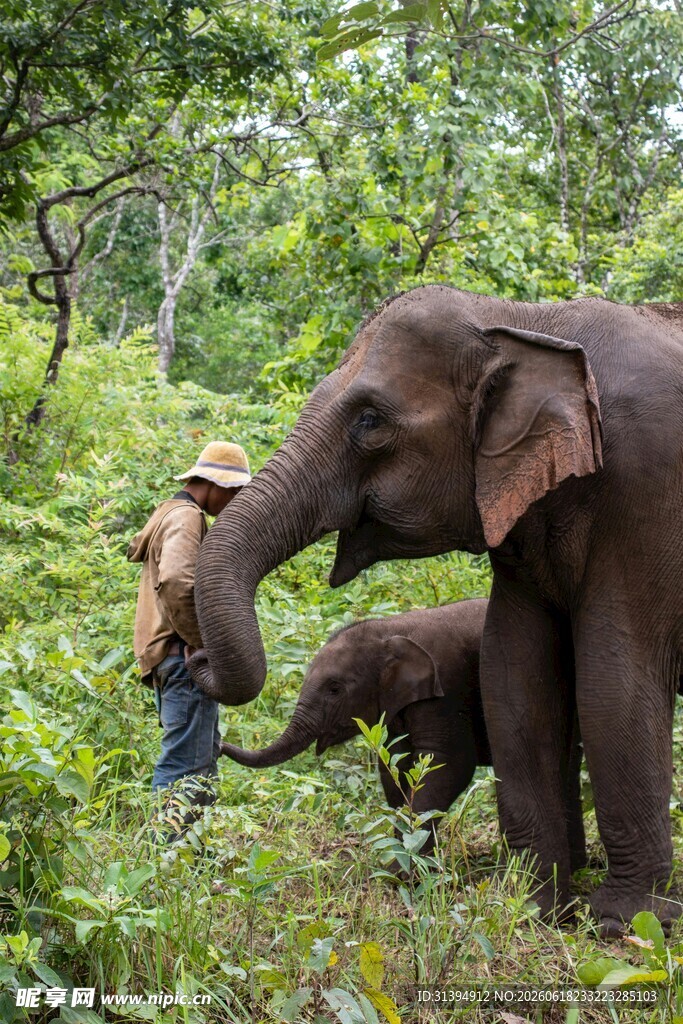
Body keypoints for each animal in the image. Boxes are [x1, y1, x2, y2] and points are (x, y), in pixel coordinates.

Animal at [220, 599, 588, 871]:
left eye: (335, 689)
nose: (220, 743)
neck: (390, 628)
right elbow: (396, 767)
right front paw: (401, 863)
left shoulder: (446, 688)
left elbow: (450, 764)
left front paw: (406, 872)